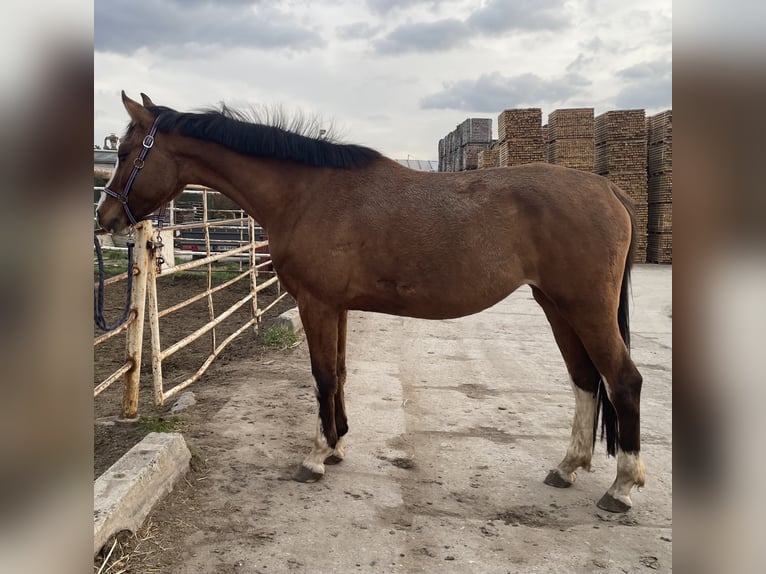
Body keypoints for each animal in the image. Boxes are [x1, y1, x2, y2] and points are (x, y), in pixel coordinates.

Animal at [97, 92, 645, 513]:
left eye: (125, 152)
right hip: (557, 305)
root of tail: (609, 190)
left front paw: (317, 455)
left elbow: (322, 376)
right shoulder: (335, 307)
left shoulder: (317, 304)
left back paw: (621, 488)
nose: (106, 218)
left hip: (586, 309)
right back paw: (567, 467)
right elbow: (339, 373)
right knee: (584, 380)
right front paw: (338, 443)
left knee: (622, 380)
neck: (305, 193)